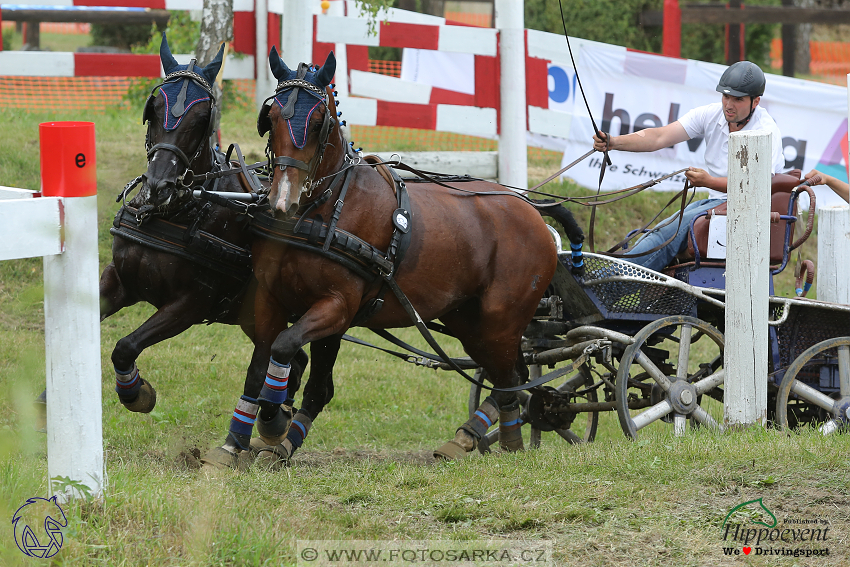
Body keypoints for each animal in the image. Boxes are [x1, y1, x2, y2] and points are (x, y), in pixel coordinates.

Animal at [211, 50, 584, 466]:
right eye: (271, 117)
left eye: (319, 122)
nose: (282, 201)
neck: (324, 210)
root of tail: (531, 207)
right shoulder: (272, 299)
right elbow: (265, 364)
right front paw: (236, 442)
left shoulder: (336, 307)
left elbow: (287, 353)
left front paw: (274, 425)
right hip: (468, 321)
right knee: (506, 373)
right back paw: (493, 439)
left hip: (502, 319)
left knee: (511, 377)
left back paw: (505, 441)